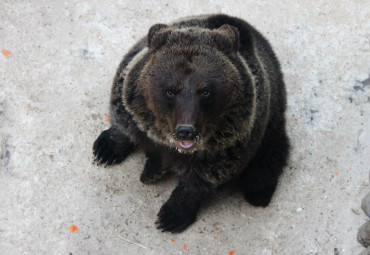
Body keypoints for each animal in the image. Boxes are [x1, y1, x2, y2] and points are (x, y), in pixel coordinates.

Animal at [92, 13, 290, 233]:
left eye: (206, 91)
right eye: (170, 90)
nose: (186, 130)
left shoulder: (232, 141)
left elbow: (201, 180)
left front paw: (172, 215)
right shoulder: (130, 90)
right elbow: (123, 119)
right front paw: (106, 149)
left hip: (271, 124)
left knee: (264, 165)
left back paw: (259, 192)